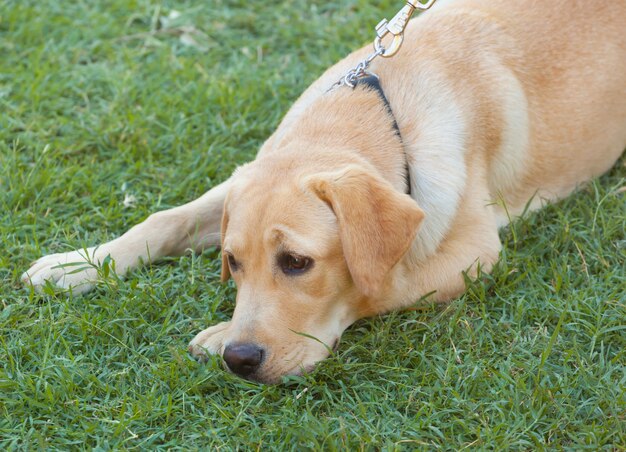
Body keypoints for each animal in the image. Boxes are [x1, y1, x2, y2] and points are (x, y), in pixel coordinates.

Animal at [20, 0, 624, 384]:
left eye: (296, 262)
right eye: (232, 262)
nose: (241, 358)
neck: (371, 114)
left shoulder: (475, 252)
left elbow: (373, 287)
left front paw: (217, 335)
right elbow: (164, 219)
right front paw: (79, 264)